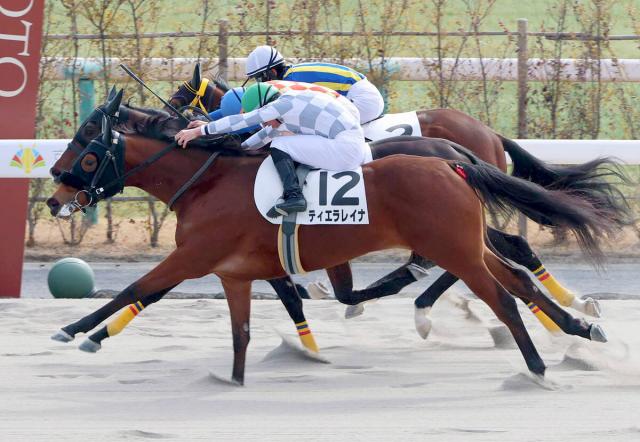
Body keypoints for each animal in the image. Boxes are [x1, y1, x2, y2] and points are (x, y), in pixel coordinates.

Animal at [47, 110, 623, 384]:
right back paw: (577, 325)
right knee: (514, 274)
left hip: (454, 244)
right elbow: (260, 311)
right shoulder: (240, 266)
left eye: (87, 150)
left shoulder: (195, 256)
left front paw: (76, 330)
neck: (209, 180)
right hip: (465, 242)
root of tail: (456, 157)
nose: (54, 195)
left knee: (502, 289)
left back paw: (536, 354)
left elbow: (137, 287)